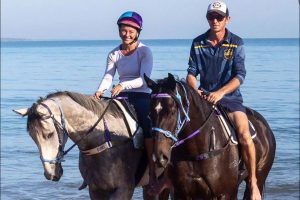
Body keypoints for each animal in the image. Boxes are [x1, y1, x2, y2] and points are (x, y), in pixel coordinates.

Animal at [13, 91, 169, 199]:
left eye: (49, 134)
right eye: (32, 137)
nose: (50, 173)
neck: (107, 141)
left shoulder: (124, 190)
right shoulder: (96, 190)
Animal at [145, 74, 276, 200]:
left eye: (171, 111)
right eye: (150, 113)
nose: (159, 157)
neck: (196, 152)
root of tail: (265, 127)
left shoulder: (224, 194)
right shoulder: (181, 194)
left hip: (258, 177)